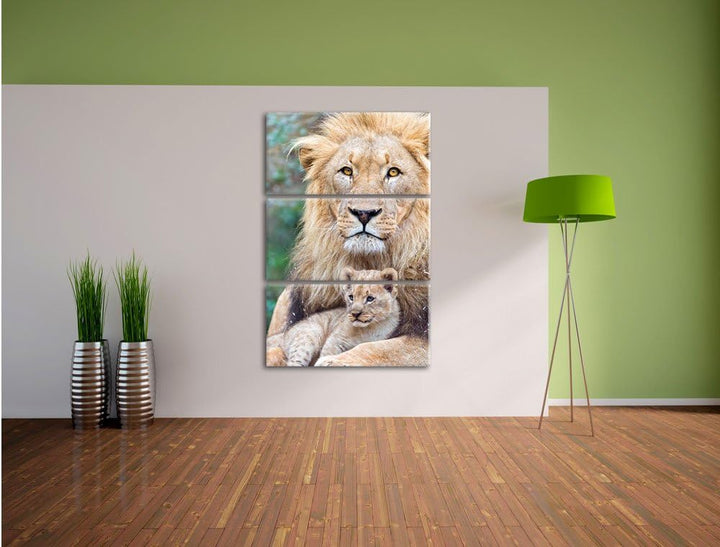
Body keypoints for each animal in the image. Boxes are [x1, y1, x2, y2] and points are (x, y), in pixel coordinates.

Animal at [267, 112, 430, 367]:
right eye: (346, 171)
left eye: (393, 172)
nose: (364, 213)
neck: (367, 262)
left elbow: (380, 349)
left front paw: (332, 361)